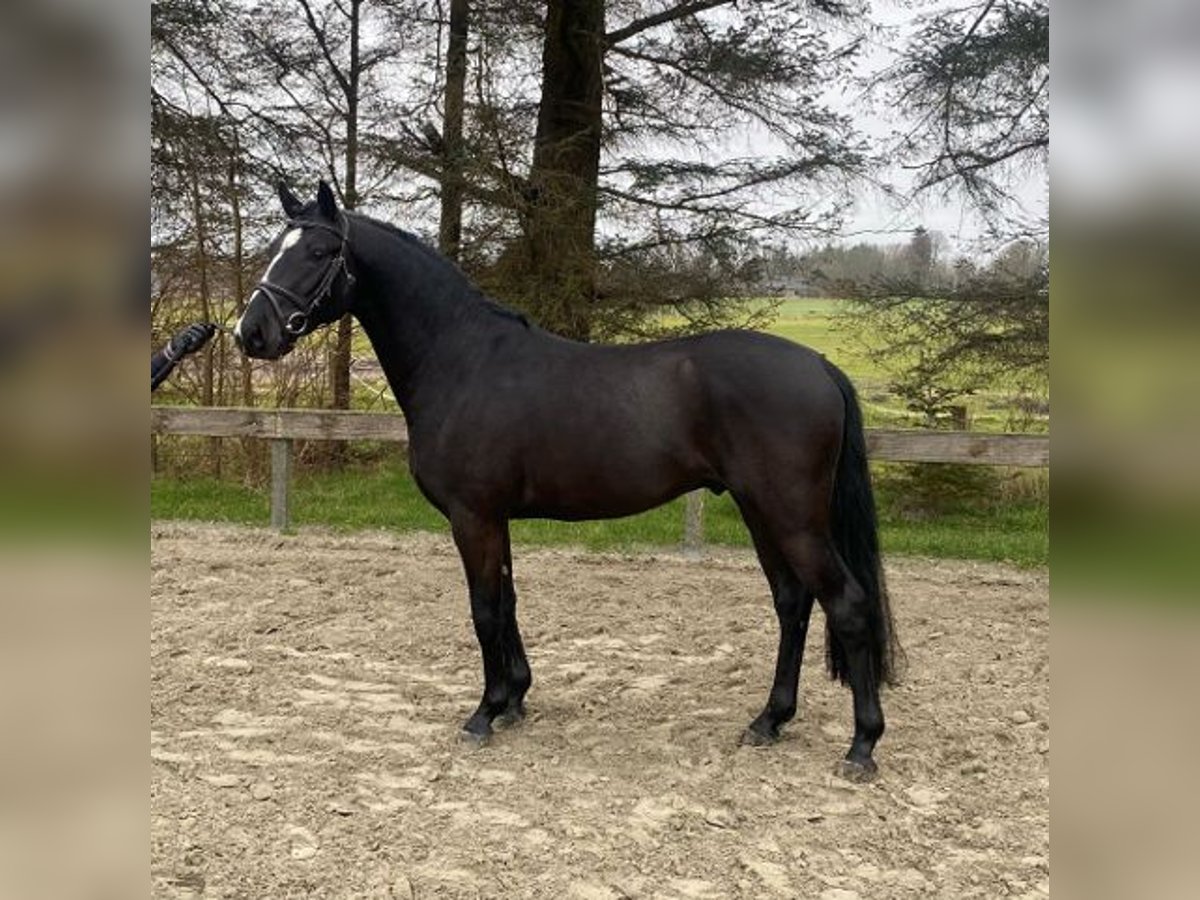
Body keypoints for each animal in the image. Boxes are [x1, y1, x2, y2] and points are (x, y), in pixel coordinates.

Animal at [234, 180, 897, 777]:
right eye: (276, 246)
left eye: (318, 251)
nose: (251, 332)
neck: (462, 361)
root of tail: (819, 365)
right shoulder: (494, 518)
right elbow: (507, 602)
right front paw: (515, 699)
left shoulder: (473, 516)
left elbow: (484, 610)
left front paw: (484, 713)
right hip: (762, 511)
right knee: (792, 602)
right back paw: (769, 720)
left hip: (791, 517)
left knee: (847, 603)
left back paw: (861, 746)